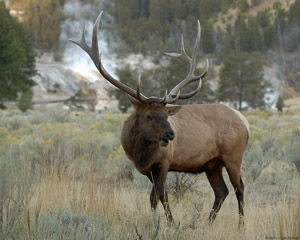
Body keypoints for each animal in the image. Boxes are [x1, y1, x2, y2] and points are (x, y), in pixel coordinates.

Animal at [70, 11, 248, 228]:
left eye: (166, 114)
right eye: (149, 115)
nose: (170, 134)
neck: (139, 153)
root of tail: (244, 121)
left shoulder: (164, 162)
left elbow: (156, 196)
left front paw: (158, 223)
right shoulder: (147, 170)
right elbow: (161, 196)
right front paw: (169, 223)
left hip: (233, 155)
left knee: (240, 187)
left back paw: (240, 225)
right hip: (212, 164)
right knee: (222, 191)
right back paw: (207, 223)